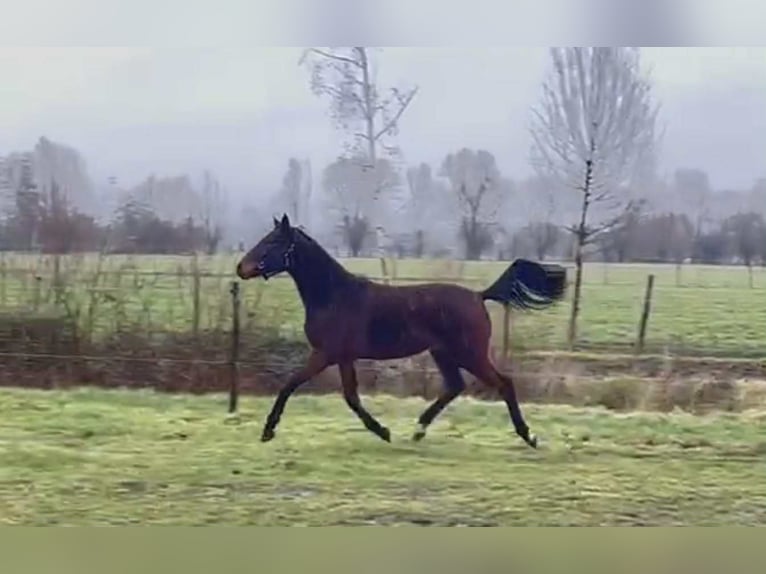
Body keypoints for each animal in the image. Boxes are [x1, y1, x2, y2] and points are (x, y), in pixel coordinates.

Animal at [235, 214, 567, 449]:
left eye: (272, 243)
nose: (241, 268)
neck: (333, 296)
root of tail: (478, 295)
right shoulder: (342, 357)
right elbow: (349, 396)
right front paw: (384, 431)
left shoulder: (326, 354)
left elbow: (292, 385)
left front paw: (268, 430)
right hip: (443, 353)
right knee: (454, 386)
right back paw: (418, 430)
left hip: (469, 353)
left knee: (503, 383)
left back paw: (529, 436)